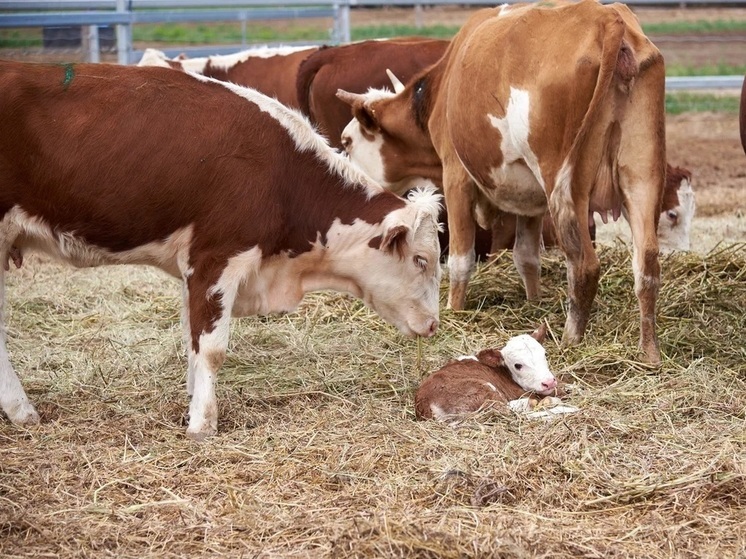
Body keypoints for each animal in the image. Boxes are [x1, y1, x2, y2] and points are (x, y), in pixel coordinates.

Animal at [0, 59, 442, 440]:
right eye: (421, 260)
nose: (435, 325)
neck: (282, 173)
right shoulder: (218, 258)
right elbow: (211, 349)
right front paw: (203, 424)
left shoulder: (192, 269)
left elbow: (192, 344)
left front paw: (191, 402)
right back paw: (23, 411)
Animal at [336, 1, 664, 364]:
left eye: (347, 142)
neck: (442, 87)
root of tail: (606, 18)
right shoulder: (530, 200)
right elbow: (526, 258)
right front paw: (534, 302)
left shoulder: (456, 177)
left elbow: (460, 260)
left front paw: (455, 311)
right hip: (642, 175)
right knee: (647, 263)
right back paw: (649, 351)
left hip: (565, 183)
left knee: (584, 265)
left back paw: (570, 341)